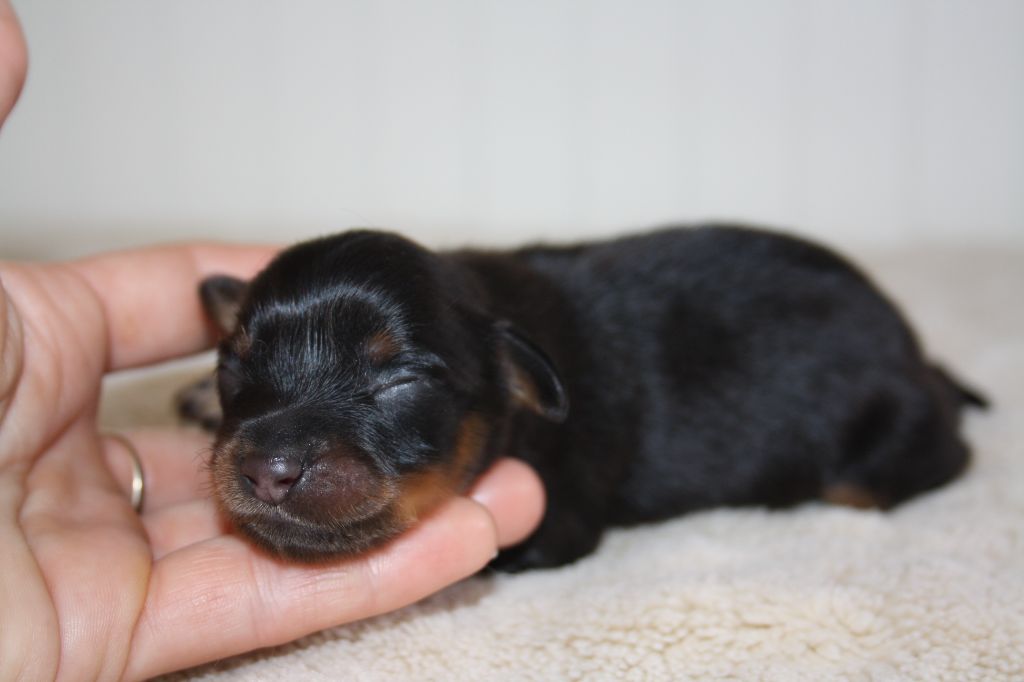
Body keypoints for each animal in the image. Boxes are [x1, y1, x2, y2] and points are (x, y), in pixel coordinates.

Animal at [177, 225, 986, 571]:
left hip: (880, 450)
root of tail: (914, 352)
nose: (266, 472)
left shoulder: (554, 517)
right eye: (232, 367)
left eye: (400, 382)